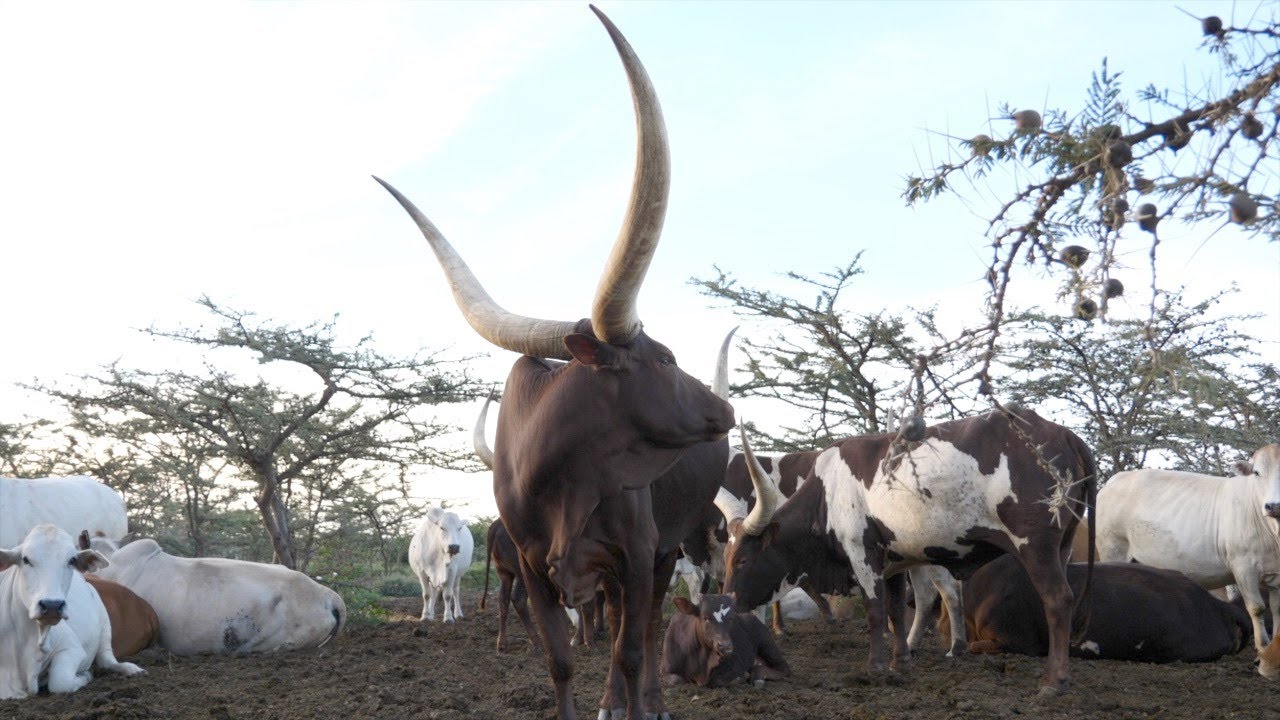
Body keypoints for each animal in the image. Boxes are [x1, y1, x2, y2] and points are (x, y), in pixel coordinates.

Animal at [0, 525, 145, 699]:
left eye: (71, 560)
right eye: (25, 559)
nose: (52, 605)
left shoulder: (72, 648)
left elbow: (60, 681)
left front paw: (85, 675)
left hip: (104, 623)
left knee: (107, 660)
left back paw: (130, 668)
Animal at [376, 7, 735, 718]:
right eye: (665, 357)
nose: (724, 408)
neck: (562, 476)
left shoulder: (638, 555)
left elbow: (629, 649)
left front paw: (634, 699)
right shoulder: (534, 568)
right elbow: (560, 659)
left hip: (666, 550)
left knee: (644, 630)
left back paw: (646, 700)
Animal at [660, 593, 791, 689]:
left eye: (731, 618)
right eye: (705, 618)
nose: (725, 646)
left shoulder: (736, 664)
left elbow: (717, 680)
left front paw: (740, 678)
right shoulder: (666, 670)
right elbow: (676, 680)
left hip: (766, 643)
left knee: (784, 668)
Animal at [721, 409, 1096, 694]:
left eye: (743, 560)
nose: (725, 606)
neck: (826, 494)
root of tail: (1064, 434)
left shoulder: (863, 555)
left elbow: (875, 612)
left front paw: (874, 666)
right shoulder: (894, 563)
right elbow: (896, 611)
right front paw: (899, 664)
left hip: (1036, 547)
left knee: (1057, 599)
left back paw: (1054, 680)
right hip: (1061, 548)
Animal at [1094, 444, 1280, 652]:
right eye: (1257, 473)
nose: (1273, 506)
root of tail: (1119, 478)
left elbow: (1276, 609)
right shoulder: (1243, 567)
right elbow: (1257, 608)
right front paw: (1263, 647)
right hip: (1113, 548)